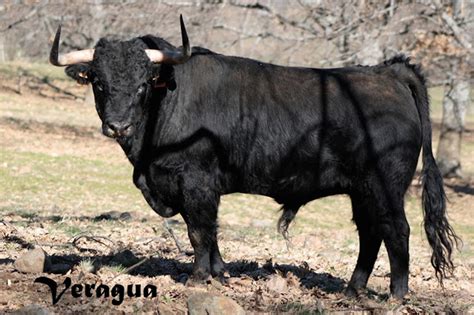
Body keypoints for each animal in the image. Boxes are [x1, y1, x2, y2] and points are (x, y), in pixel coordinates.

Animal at [49, 19, 460, 298]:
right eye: (99, 83)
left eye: (142, 84)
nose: (117, 125)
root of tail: (387, 72)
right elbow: (210, 231)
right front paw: (220, 273)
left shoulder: (196, 181)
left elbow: (199, 230)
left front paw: (198, 276)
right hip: (361, 190)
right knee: (370, 233)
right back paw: (352, 289)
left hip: (385, 185)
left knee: (397, 231)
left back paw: (396, 295)